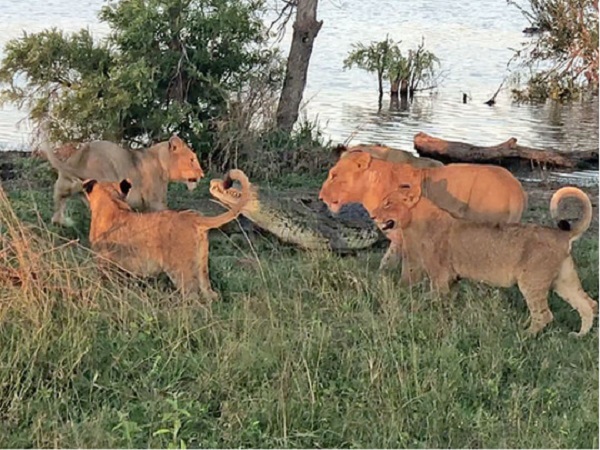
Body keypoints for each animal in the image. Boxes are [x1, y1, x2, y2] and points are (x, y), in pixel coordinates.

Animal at [42, 134, 204, 225]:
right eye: (192, 160)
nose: (202, 175)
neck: (160, 159)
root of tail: (83, 157)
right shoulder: (155, 201)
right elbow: (170, 213)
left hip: (63, 186)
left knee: (58, 209)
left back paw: (62, 222)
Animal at [81, 171, 250, 300]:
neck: (111, 201)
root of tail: (192, 217)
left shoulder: (103, 262)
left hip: (180, 270)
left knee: (193, 296)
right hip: (202, 268)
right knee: (211, 295)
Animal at [372, 185, 596, 336]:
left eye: (388, 203)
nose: (373, 216)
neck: (415, 222)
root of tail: (562, 235)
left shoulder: (440, 276)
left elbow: (433, 300)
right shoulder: (453, 278)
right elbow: (449, 302)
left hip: (532, 281)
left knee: (544, 314)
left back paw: (524, 335)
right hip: (563, 280)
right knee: (588, 304)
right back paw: (579, 336)